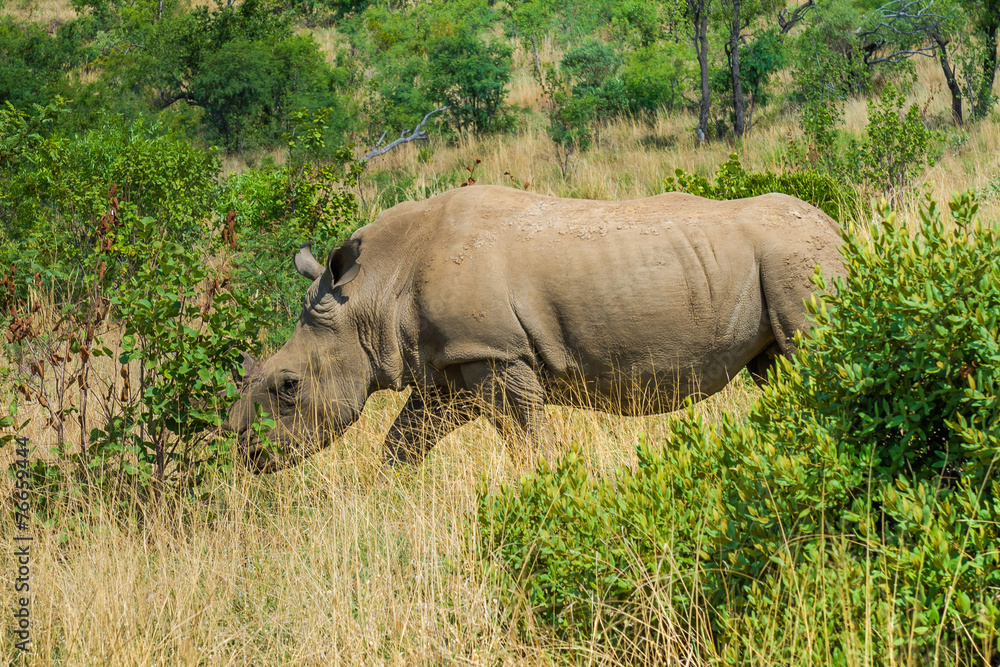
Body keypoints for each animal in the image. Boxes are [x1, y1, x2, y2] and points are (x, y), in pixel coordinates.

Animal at [227, 185, 844, 472]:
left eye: (288, 387)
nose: (249, 455)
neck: (372, 293)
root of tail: (836, 227)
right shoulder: (447, 363)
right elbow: (403, 442)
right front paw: (391, 498)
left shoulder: (495, 353)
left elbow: (525, 436)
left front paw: (546, 484)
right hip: (783, 264)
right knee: (775, 368)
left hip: (798, 260)